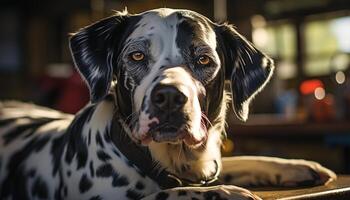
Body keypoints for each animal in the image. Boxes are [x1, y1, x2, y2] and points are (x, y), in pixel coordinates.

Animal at [0, 8, 336, 200]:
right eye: (136, 56)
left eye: (204, 59)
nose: (170, 97)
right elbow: (163, 196)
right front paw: (223, 193)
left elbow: (239, 160)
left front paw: (294, 165)